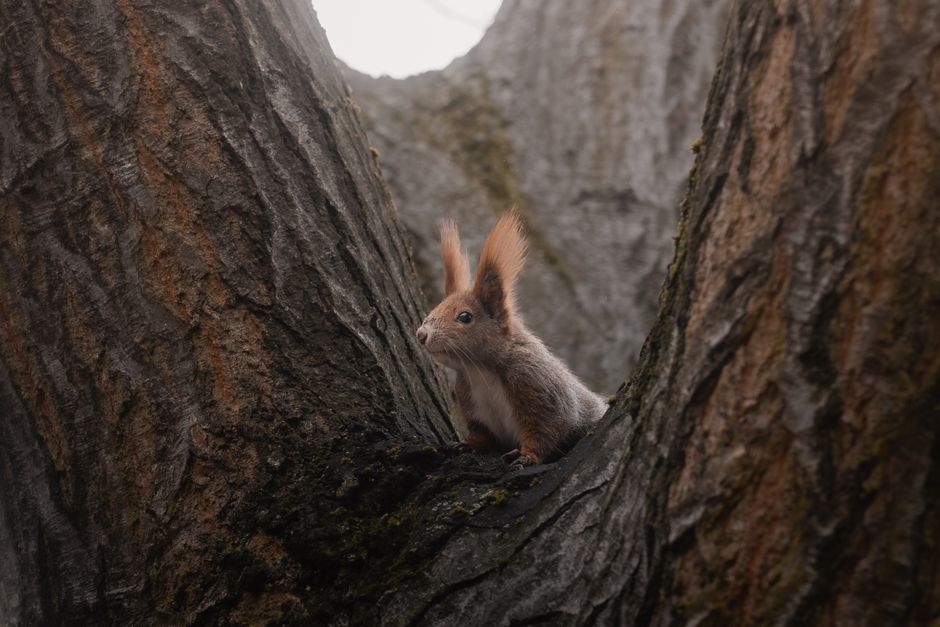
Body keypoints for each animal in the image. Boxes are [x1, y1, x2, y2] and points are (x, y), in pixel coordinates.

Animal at [416, 211, 607, 469]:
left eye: (465, 316)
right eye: (436, 307)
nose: (421, 335)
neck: (480, 370)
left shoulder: (538, 387)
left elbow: (546, 431)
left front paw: (526, 456)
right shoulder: (471, 401)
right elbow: (481, 434)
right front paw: (467, 445)